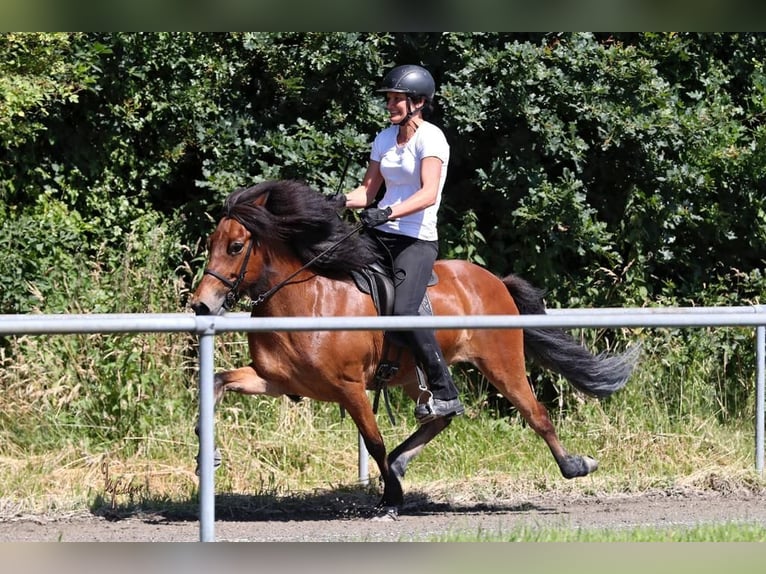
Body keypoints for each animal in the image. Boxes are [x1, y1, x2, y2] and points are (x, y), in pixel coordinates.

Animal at [190, 179, 640, 512]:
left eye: (235, 246)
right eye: (211, 243)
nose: (201, 305)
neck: (306, 299)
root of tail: (495, 280)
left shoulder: (349, 388)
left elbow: (373, 441)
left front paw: (391, 499)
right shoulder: (278, 380)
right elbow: (219, 380)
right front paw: (205, 453)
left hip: (502, 362)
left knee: (536, 414)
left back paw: (575, 465)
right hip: (415, 375)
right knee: (442, 416)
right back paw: (401, 462)